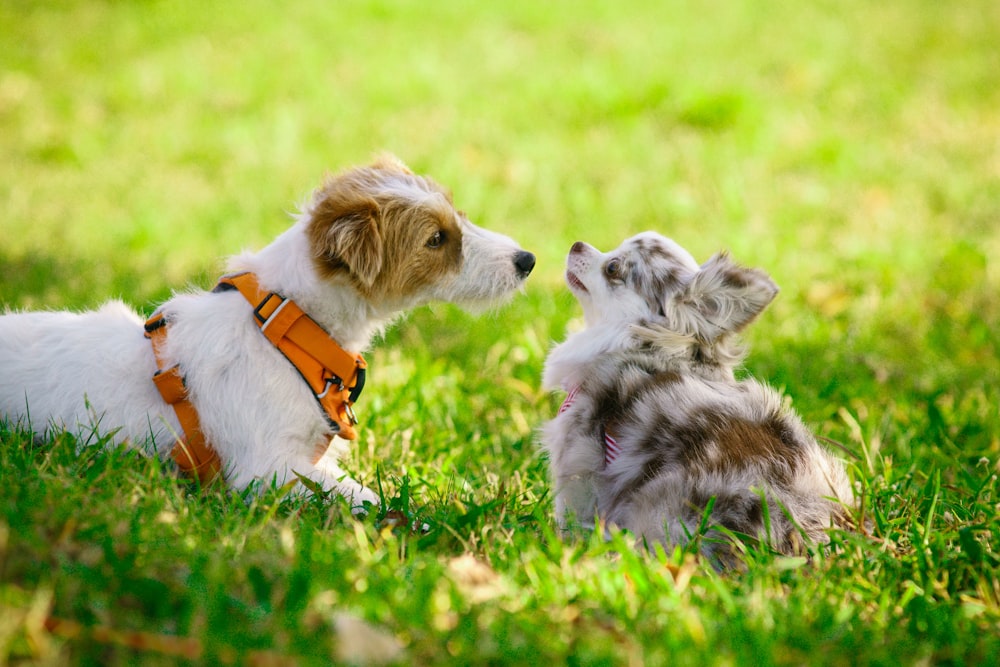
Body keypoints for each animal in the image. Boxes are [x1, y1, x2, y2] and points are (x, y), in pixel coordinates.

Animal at [3, 155, 536, 512]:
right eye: (436, 239)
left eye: (459, 215)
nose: (527, 260)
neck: (289, 330)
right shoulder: (266, 469)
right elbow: (368, 496)